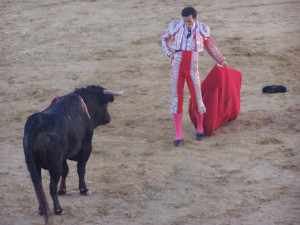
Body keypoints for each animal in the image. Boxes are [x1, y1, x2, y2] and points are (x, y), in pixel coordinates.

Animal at [23, 85, 122, 221]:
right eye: (106, 104)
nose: (108, 118)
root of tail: (35, 122)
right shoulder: (86, 148)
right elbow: (81, 169)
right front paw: (84, 190)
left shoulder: (64, 156)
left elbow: (66, 170)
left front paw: (63, 190)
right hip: (54, 165)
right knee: (51, 187)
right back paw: (59, 209)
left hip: (34, 166)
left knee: (38, 186)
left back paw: (42, 209)